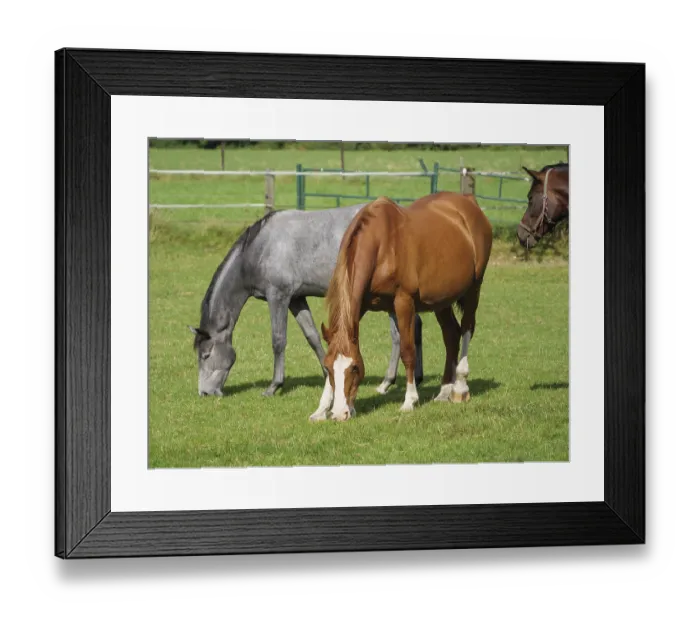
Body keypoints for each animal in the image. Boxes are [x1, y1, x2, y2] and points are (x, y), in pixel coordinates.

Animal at [188, 204, 424, 399]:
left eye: (206, 355)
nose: (205, 393)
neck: (261, 248)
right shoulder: (296, 299)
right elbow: (312, 336)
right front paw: (327, 373)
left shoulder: (278, 297)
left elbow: (278, 340)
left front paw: (274, 386)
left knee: (400, 334)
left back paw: (389, 382)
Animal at [310, 191, 493, 422]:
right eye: (328, 366)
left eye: (355, 368)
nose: (340, 414)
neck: (382, 245)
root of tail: (468, 201)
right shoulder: (360, 306)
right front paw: (321, 409)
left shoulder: (403, 301)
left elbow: (408, 351)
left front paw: (409, 401)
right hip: (441, 301)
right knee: (451, 335)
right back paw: (444, 391)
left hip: (474, 289)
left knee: (468, 328)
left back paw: (460, 387)